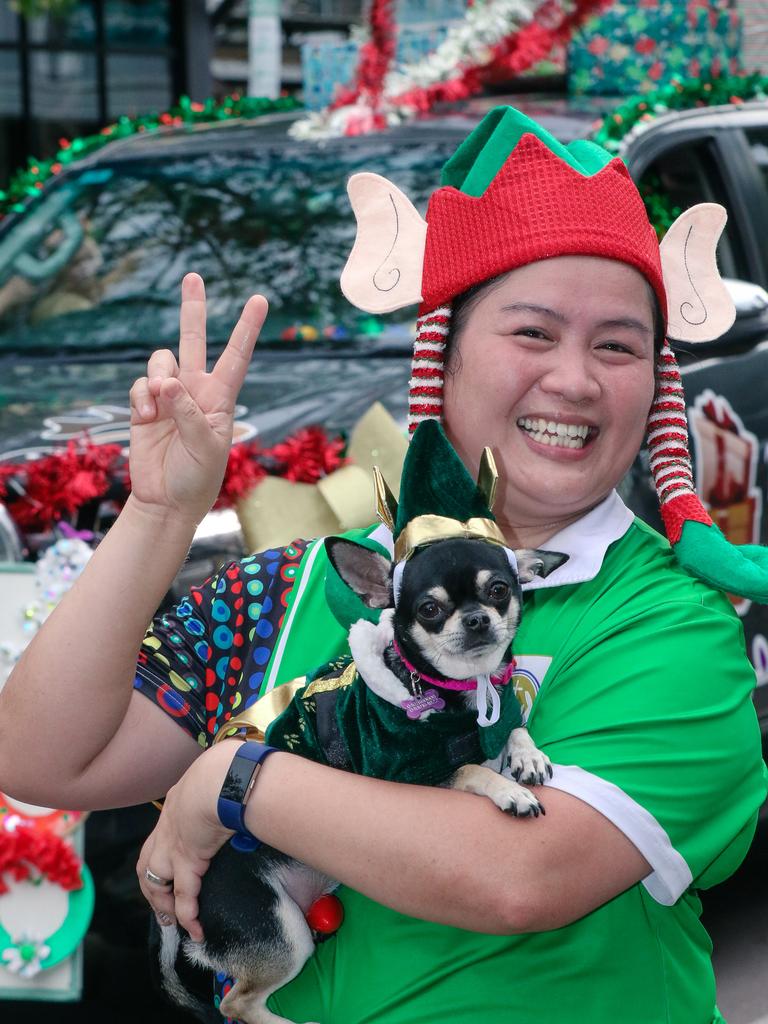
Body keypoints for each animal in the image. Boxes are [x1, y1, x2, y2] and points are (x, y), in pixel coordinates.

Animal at [157, 532, 565, 1019]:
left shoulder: (498, 718)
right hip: (281, 932)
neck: (458, 690)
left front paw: (527, 756)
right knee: (237, 1004)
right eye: (429, 609)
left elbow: (513, 727)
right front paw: (508, 790)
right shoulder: (405, 776)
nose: (477, 619)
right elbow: (468, 768)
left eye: (499, 589)